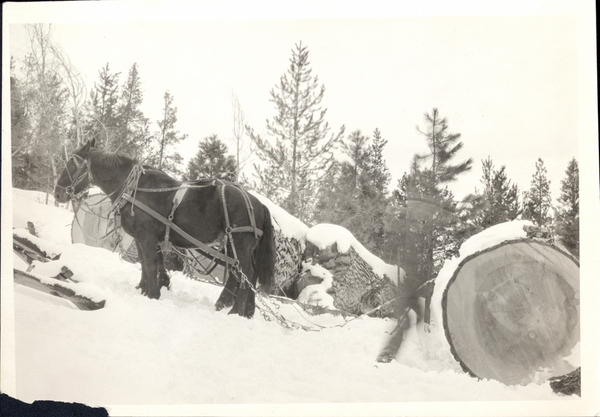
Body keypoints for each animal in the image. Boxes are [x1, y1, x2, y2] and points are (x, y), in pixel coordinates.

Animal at [54, 138, 276, 316]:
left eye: (71, 165)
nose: (57, 193)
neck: (134, 188)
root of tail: (259, 204)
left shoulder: (146, 237)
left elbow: (150, 264)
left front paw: (152, 293)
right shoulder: (143, 238)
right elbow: (147, 264)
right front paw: (146, 288)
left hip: (240, 244)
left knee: (246, 274)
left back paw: (235, 311)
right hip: (231, 245)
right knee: (241, 275)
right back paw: (240, 310)